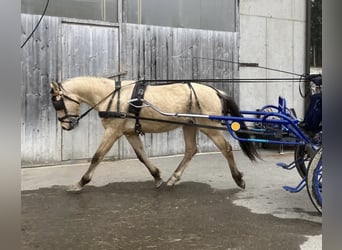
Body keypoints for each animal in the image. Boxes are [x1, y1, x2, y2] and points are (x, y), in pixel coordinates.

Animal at [50, 76, 260, 191]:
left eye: (57, 103)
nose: (66, 126)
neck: (112, 96)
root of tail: (215, 91)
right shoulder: (129, 132)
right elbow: (142, 155)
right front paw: (157, 176)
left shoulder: (113, 130)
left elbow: (97, 156)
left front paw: (80, 183)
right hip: (189, 125)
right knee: (191, 150)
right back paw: (173, 178)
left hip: (207, 126)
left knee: (226, 148)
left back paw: (239, 179)